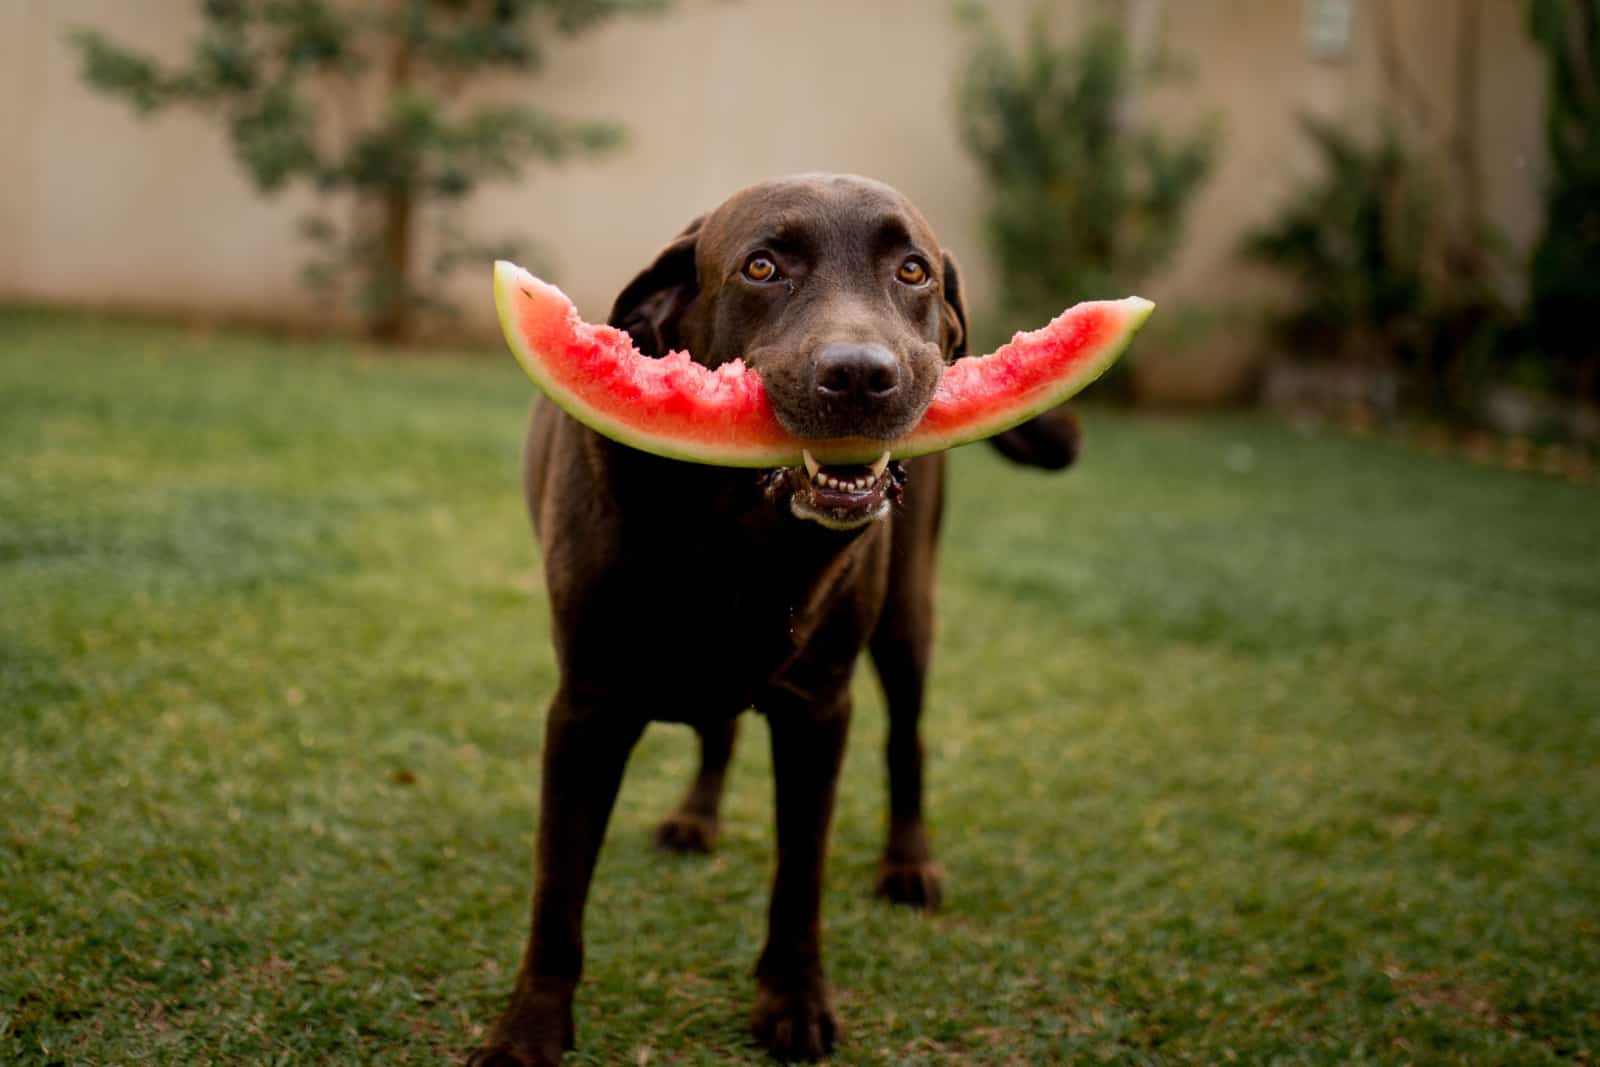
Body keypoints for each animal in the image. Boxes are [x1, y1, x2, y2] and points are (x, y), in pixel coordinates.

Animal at [467, 171, 1081, 1062]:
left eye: (912, 271)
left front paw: (793, 1000)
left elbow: (800, 877)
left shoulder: (818, 708)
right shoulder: (585, 706)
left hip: (907, 617)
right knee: (719, 731)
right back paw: (697, 815)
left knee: (907, 741)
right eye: (762, 267)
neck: (736, 532)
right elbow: (558, 892)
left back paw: (908, 862)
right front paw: (528, 1030)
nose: (861, 375)